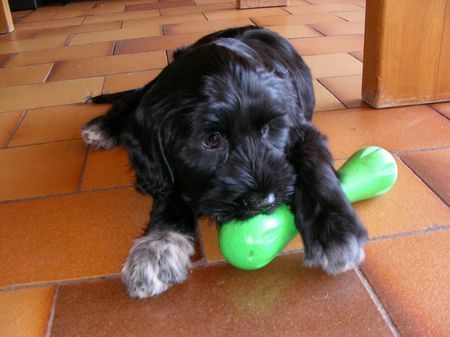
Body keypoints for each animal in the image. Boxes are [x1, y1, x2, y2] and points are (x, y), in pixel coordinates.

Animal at [82, 26, 368, 296]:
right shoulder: (170, 167)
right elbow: (170, 193)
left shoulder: (303, 130)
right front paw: (157, 248)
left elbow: (314, 164)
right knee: (133, 100)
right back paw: (103, 127)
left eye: (268, 129)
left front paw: (334, 230)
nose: (264, 202)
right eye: (211, 141)